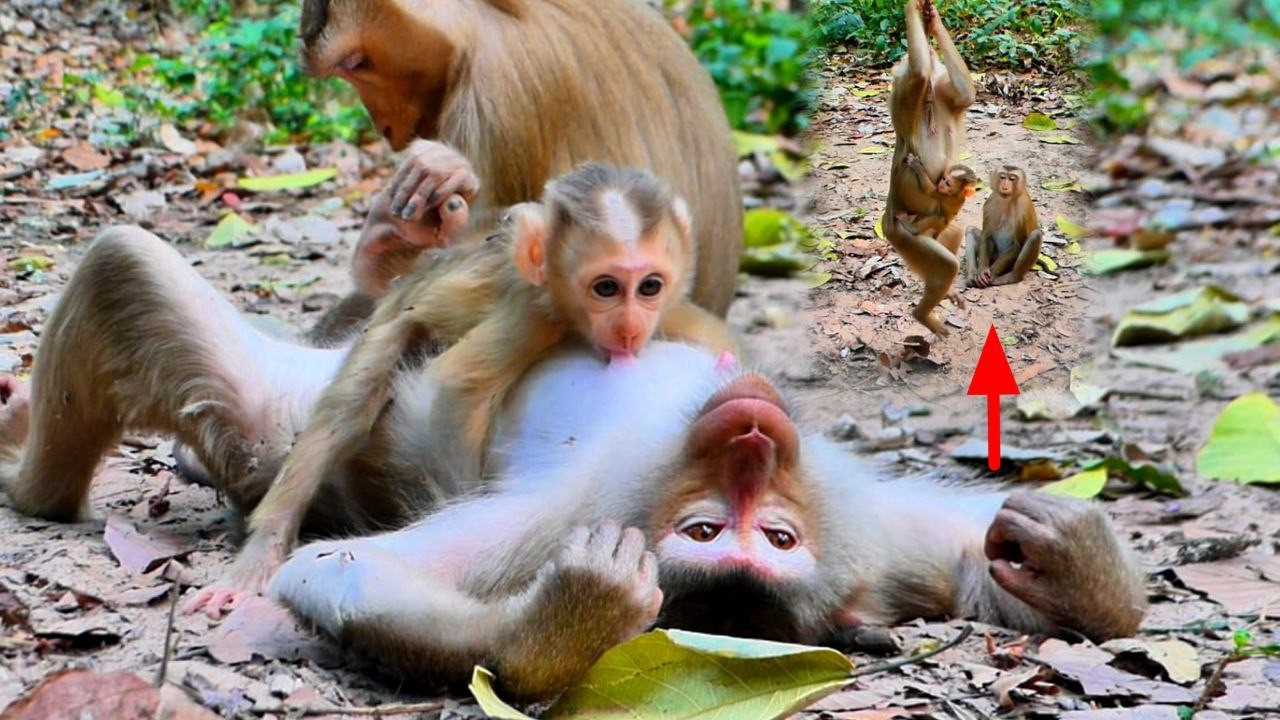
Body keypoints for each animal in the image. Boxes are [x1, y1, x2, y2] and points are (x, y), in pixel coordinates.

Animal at [881, 0, 976, 337]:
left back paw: (945, 295)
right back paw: (923, 314)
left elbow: (966, 94)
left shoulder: (943, 92)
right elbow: (919, 73)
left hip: (927, 232)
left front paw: (931, 20)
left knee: (953, 230)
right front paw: (912, 8)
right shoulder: (906, 91)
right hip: (901, 233)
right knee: (944, 262)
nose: (932, 50)